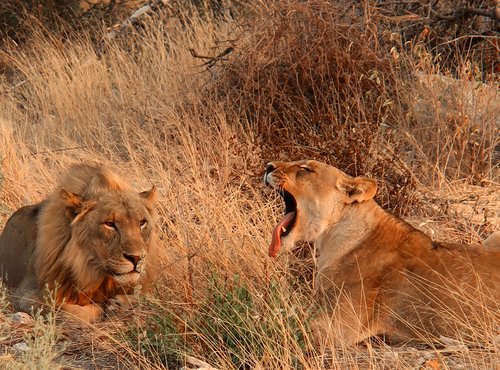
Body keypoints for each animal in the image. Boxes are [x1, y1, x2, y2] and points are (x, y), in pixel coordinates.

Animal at [0, 163, 160, 322]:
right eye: (110, 224)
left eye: (142, 223)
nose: (137, 258)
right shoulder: (24, 294)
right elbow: (65, 311)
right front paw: (109, 307)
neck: (89, 269)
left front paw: (121, 302)